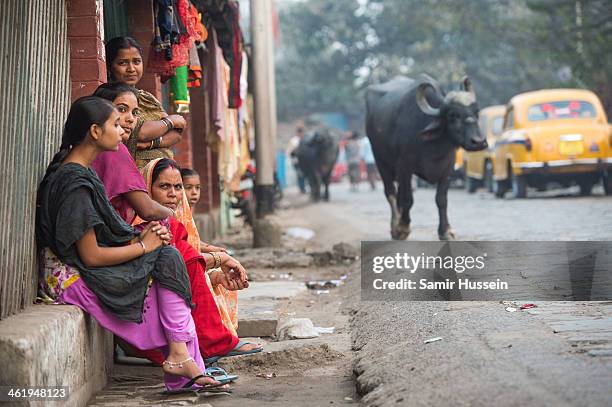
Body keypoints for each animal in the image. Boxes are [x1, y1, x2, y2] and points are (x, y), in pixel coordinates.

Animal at [364, 75, 488, 241]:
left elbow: (441, 199)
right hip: (380, 161)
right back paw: (395, 227)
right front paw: (403, 228)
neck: (432, 147)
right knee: (391, 193)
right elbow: (408, 199)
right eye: (453, 115)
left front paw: (445, 231)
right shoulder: (404, 166)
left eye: (476, 112)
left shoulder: (448, 168)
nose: (478, 142)